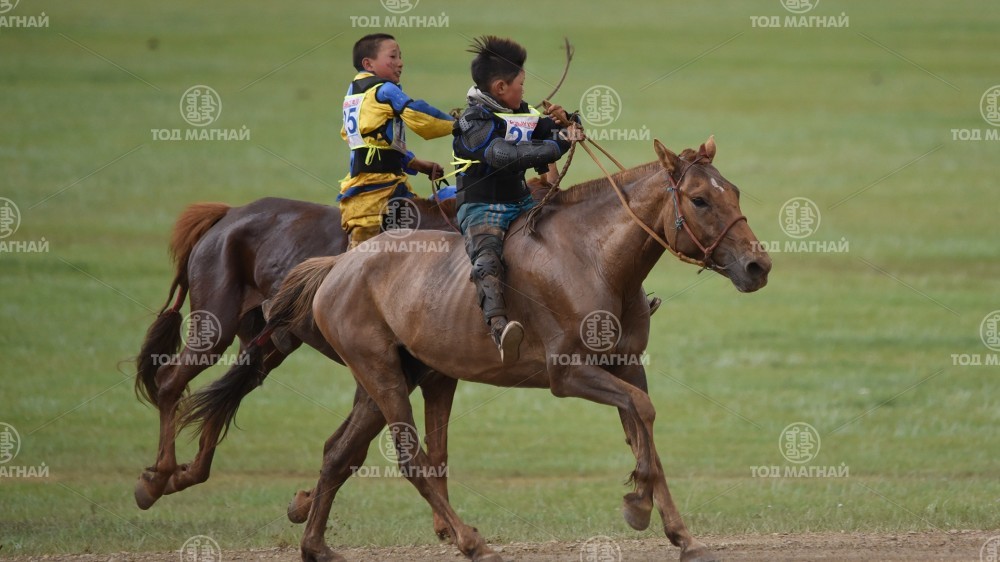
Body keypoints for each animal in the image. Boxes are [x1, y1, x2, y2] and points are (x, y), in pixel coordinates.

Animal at [131, 194, 458, 512]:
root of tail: (229, 214)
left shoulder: (436, 380)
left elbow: (430, 453)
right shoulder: (384, 373)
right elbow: (349, 449)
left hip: (264, 348)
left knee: (223, 398)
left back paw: (183, 474)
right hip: (215, 327)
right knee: (170, 380)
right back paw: (157, 479)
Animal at [260, 137, 772, 560]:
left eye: (735, 192)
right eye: (700, 199)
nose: (758, 265)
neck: (594, 258)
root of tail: (339, 266)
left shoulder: (627, 366)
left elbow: (641, 424)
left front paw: (678, 532)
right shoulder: (567, 374)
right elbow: (641, 412)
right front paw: (639, 504)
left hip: (389, 379)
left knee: (338, 452)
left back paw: (316, 546)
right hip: (381, 373)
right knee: (410, 459)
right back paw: (472, 542)